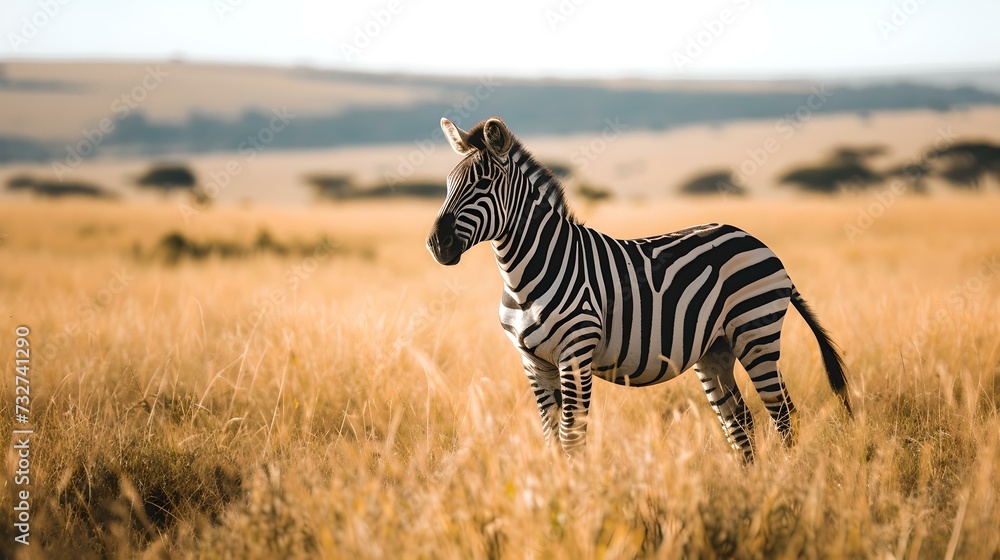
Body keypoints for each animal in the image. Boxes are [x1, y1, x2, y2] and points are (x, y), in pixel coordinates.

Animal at [426, 116, 852, 462]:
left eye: (483, 185)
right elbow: (552, 438)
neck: (524, 277)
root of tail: (758, 242)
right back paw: (750, 485)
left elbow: (571, 438)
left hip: (755, 334)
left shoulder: (575, 354)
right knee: (740, 421)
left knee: (782, 415)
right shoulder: (533, 362)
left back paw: (785, 484)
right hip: (715, 350)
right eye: (447, 185)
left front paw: (575, 499)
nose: (436, 244)